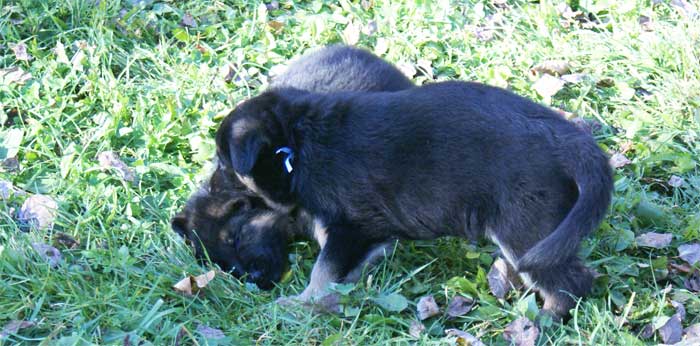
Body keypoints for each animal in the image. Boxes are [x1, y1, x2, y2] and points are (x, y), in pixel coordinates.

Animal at [215, 80, 612, 316]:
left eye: (223, 163)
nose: (214, 191)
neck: (295, 146)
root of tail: (570, 141)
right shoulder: (367, 231)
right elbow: (346, 268)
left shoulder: (347, 227)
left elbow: (322, 269)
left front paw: (300, 304)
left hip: (526, 232)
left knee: (571, 283)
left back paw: (542, 319)